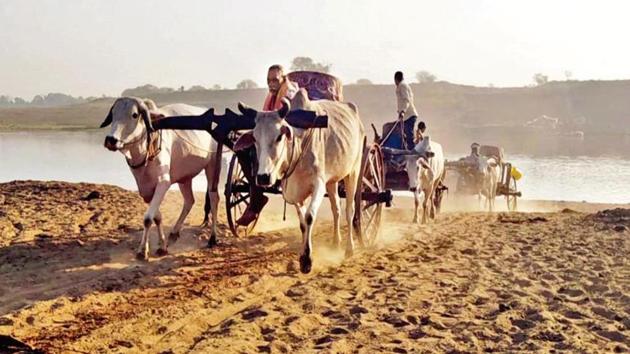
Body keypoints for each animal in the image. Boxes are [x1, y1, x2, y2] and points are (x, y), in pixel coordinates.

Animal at [101, 97, 225, 260]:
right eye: (113, 113)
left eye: (134, 115)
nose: (111, 140)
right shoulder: (146, 189)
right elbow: (156, 217)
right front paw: (161, 246)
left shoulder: (163, 183)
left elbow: (148, 218)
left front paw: (142, 250)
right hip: (185, 178)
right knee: (189, 200)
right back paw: (175, 231)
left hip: (212, 167)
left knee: (214, 198)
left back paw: (213, 238)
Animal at [236, 88, 366, 274]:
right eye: (254, 138)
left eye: (279, 136)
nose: (263, 177)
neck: (299, 145)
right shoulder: (295, 192)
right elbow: (303, 223)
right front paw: (303, 257)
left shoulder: (318, 185)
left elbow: (310, 217)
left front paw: (307, 260)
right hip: (332, 181)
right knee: (336, 209)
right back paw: (336, 243)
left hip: (353, 171)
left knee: (350, 210)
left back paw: (349, 249)